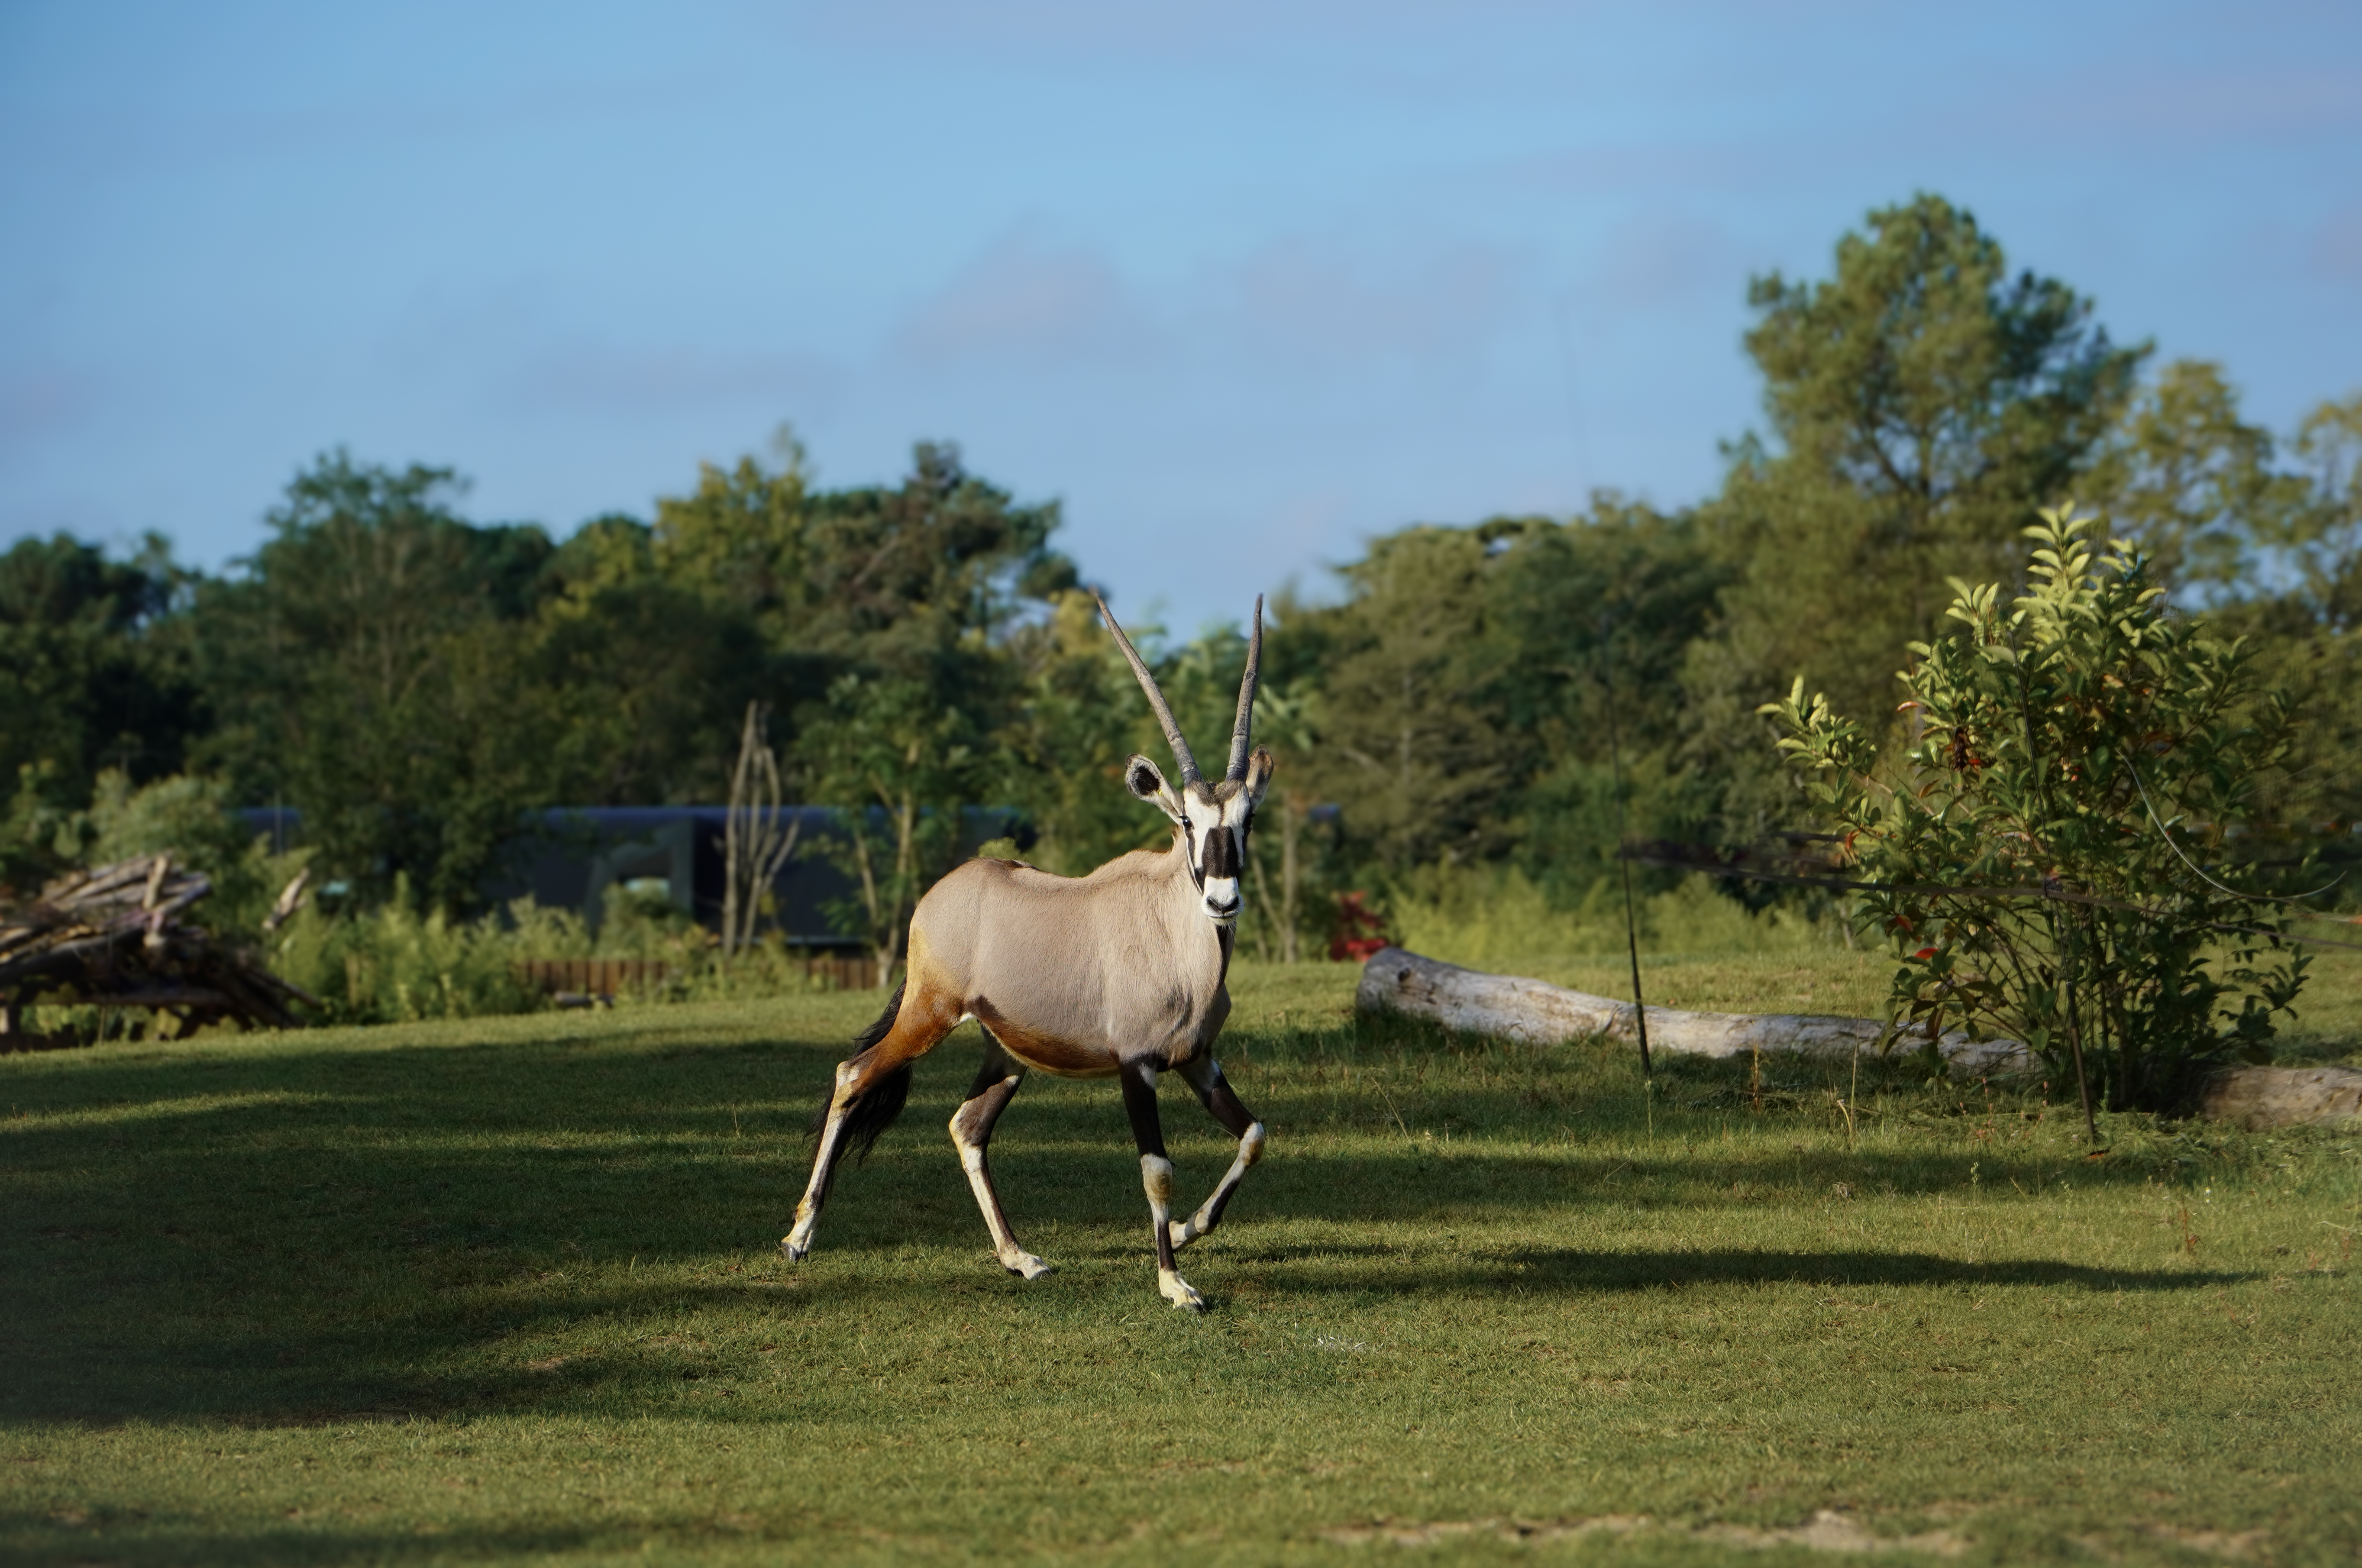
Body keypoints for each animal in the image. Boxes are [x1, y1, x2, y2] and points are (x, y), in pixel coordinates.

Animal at [784, 595, 1275, 1303]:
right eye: (1187, 821)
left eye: (1246, 820)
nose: (1221, 901)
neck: (1179, 939)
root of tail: (941, 893)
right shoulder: (1137, 1065)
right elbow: (1156, 1170)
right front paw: (1173, 1283)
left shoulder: (1197, 1059)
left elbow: (1254, 1135)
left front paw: (1188, 1231)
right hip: (929, 1015)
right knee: (853, 1075)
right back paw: (799, 1235)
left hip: (1006, 1053)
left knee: (967, 1126)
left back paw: (1019, 1257)